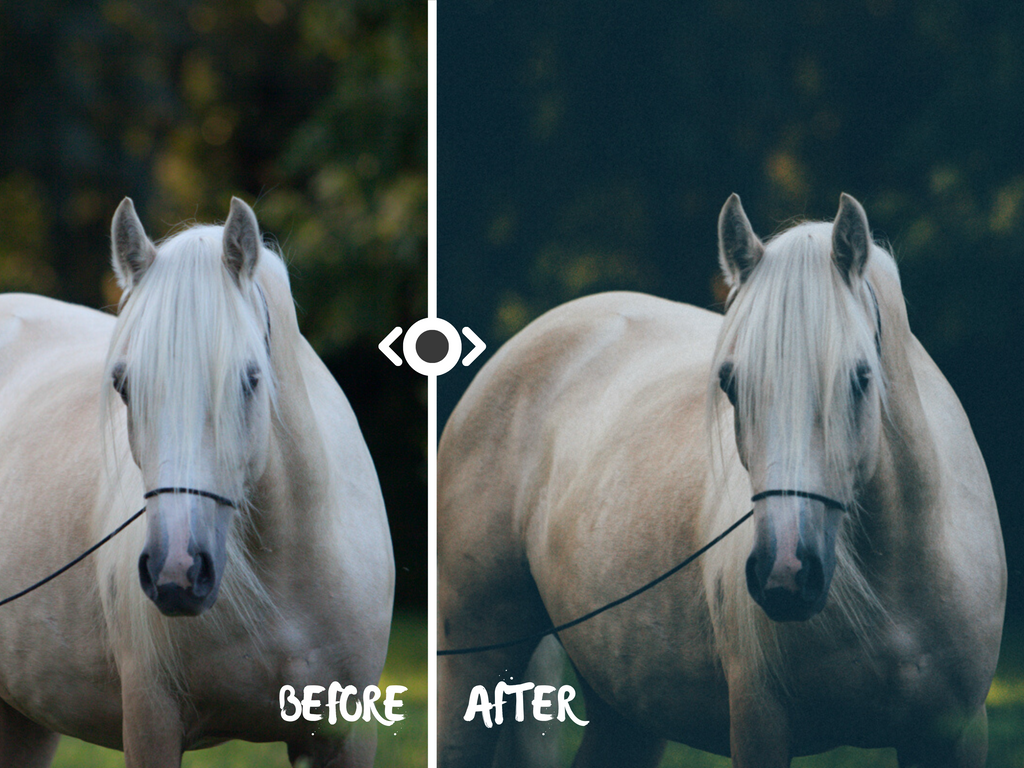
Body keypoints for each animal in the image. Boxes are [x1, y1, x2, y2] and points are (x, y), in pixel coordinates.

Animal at [438, 193, 1005, 767]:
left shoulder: (956, 734)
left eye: (861, 378)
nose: (785, 572)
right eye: (731, 384)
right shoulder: (759, 725)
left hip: (627, 711)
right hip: (469, 661)